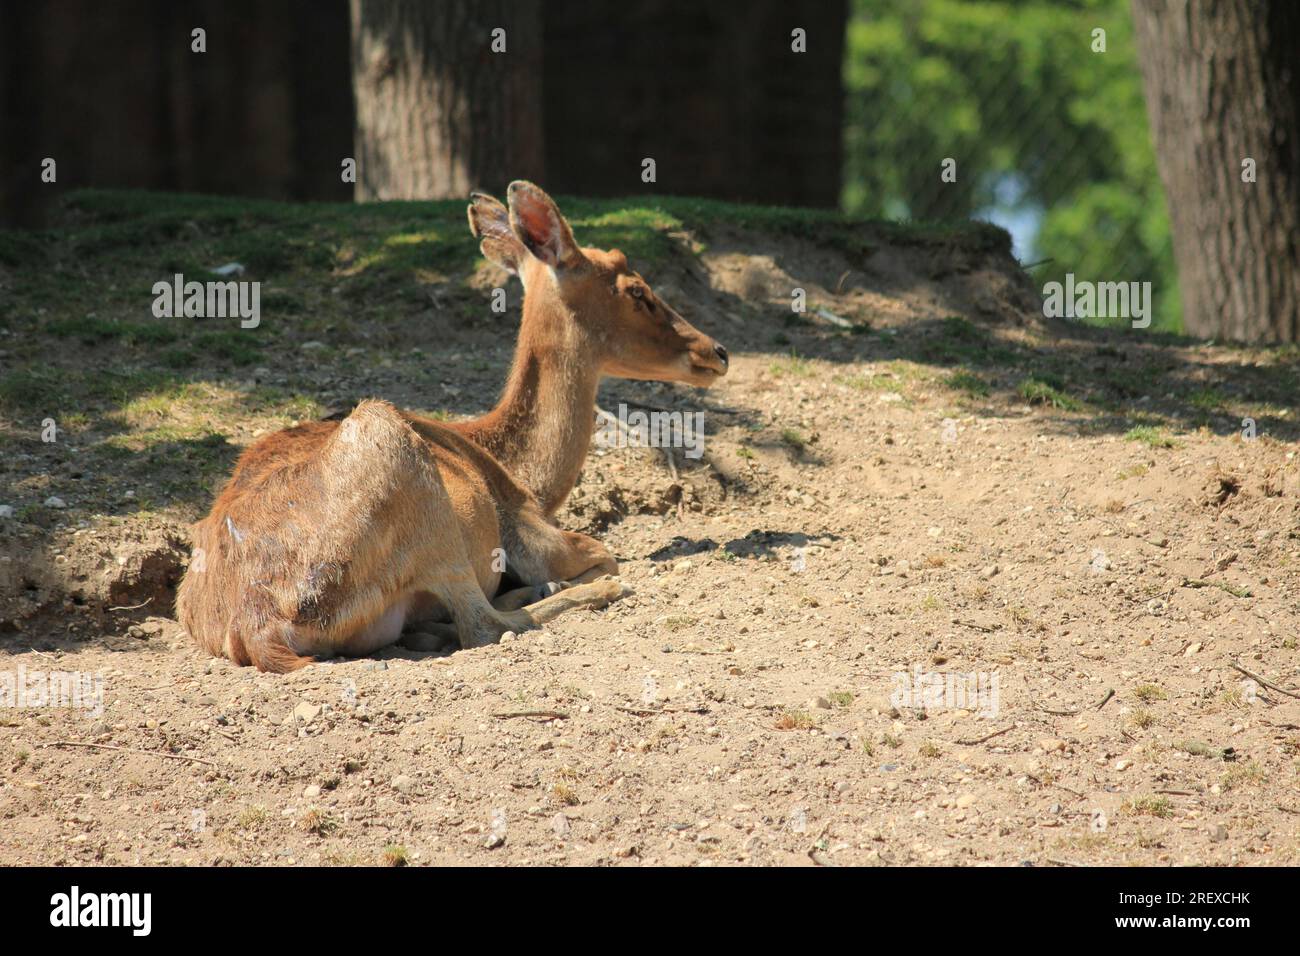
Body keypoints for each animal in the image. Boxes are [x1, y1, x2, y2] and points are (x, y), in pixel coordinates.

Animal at [175, 181, 729, 672]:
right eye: (637, 290)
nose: (717, 351)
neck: (527, 477)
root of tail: (259, 627)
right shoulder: (528, 529)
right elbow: (604, 552)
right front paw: (576, 580)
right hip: (419, 492)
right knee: (486, 625)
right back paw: (586, 591)